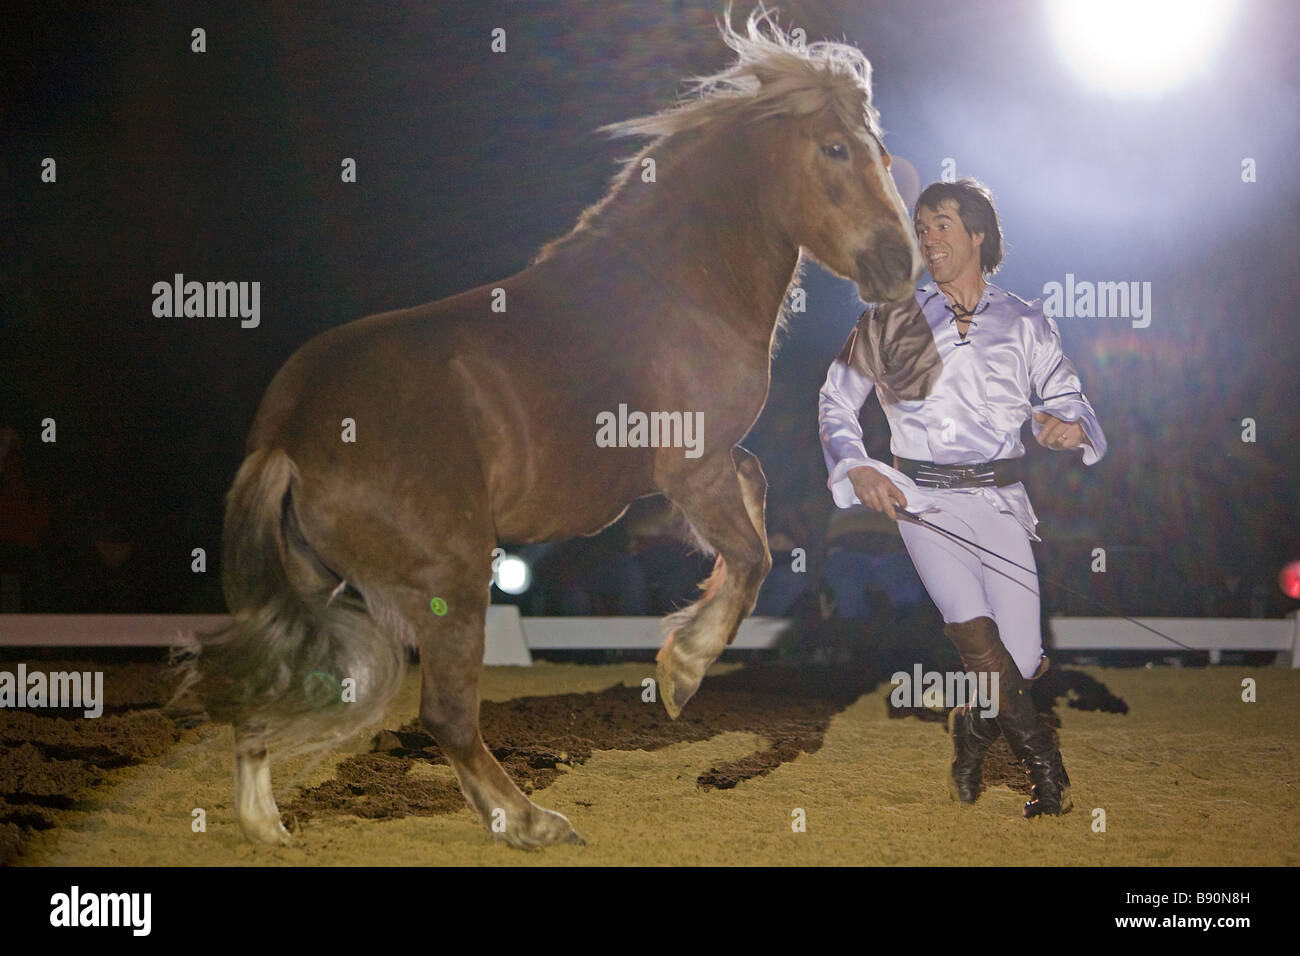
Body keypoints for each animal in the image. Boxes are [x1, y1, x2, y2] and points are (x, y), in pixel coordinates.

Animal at [175, 5, 925, 842]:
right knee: (447, 715)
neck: (677, 288)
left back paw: (267, 825)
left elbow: (757, 504)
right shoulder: (691, 467)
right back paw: (530, 820)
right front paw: (683, 670)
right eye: (835, 148)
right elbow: (754, 556)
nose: (900, 266)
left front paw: (685, 653)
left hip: (321, 584)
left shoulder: (710, 463)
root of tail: (290, 435)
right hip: (454, 580)